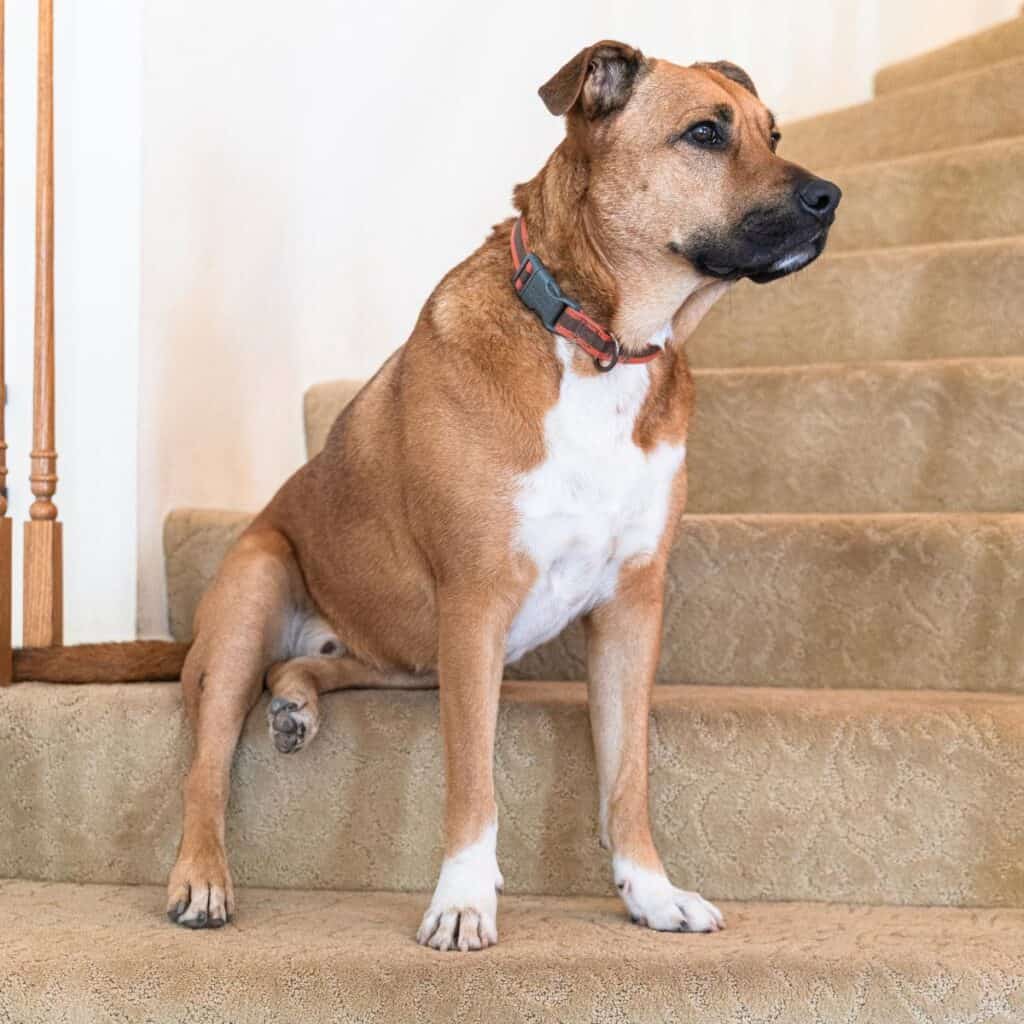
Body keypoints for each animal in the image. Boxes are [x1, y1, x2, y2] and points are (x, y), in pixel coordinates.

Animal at [165, 39, 839, 950]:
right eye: (705, 133)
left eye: (775, 133)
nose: (831, 198)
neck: (600, 342)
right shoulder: (478, 601)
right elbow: (473, 781)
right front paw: (462, 901)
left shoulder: (631, 609)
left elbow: (627, 778)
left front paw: (651, 893)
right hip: (258, 591)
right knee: (207, 761)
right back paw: (203, 875)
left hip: (415, 658)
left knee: (324, 667)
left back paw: (297, 698)